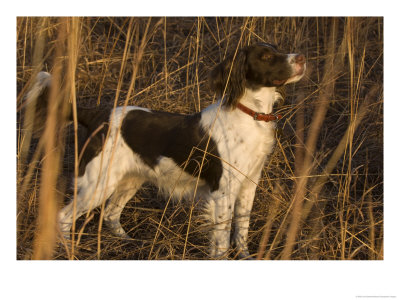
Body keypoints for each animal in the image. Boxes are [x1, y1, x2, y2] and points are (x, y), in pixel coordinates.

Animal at [25, 43, 306, 258]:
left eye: (276, 49)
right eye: (266, 56)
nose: (302, 58)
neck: (249, 114)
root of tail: (97, 116)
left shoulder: (248, 185)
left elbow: (242, 230)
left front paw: (246, 256)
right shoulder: (223, 192)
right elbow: (222, 240)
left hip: (129, 180)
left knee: (111, 214)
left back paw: (130, 242)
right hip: (98, 184)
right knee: (63, 217)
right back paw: (70, 251)